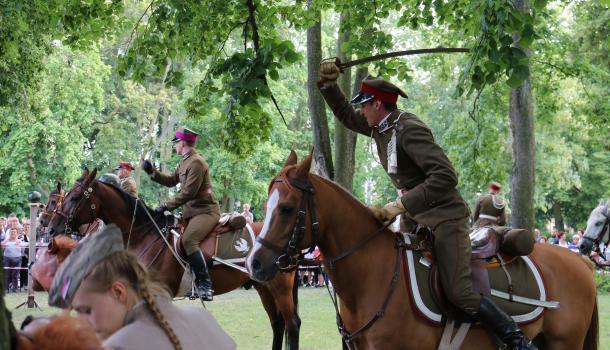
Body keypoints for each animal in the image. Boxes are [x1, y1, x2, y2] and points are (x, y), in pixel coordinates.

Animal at [42, 168, 300, 348]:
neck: (144, 233)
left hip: (279, 287)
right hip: (263, 287)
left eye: (75, 197)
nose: (51, 229)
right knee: (278, 325)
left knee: (292, 324)